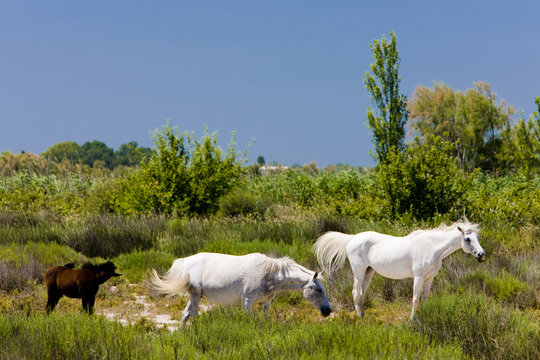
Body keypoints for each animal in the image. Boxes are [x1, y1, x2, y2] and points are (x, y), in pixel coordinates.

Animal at [149, 250, 334, 324]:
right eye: (318, 290)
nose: (328, 311)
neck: (270, 274)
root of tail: (185, 261)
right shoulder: (247, 300)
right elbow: (247, 318)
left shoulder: (266, 303)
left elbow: (264, 319)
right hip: (195, 295)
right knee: (193, 313)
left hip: (196, 296)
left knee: (186, 314)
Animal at [312, 221, 486, 320]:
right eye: (467, 239)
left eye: (477, 237)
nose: (481, 255)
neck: (431, 247)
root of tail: (352, 238)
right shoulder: (418, 277)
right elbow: (415, 299)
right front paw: (412, 319)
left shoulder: (429, 278)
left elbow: (424, 299)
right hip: (359, 273)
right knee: (356, 293)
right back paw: (360, 319)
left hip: (369, 272)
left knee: (361, 294)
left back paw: (363, 316)